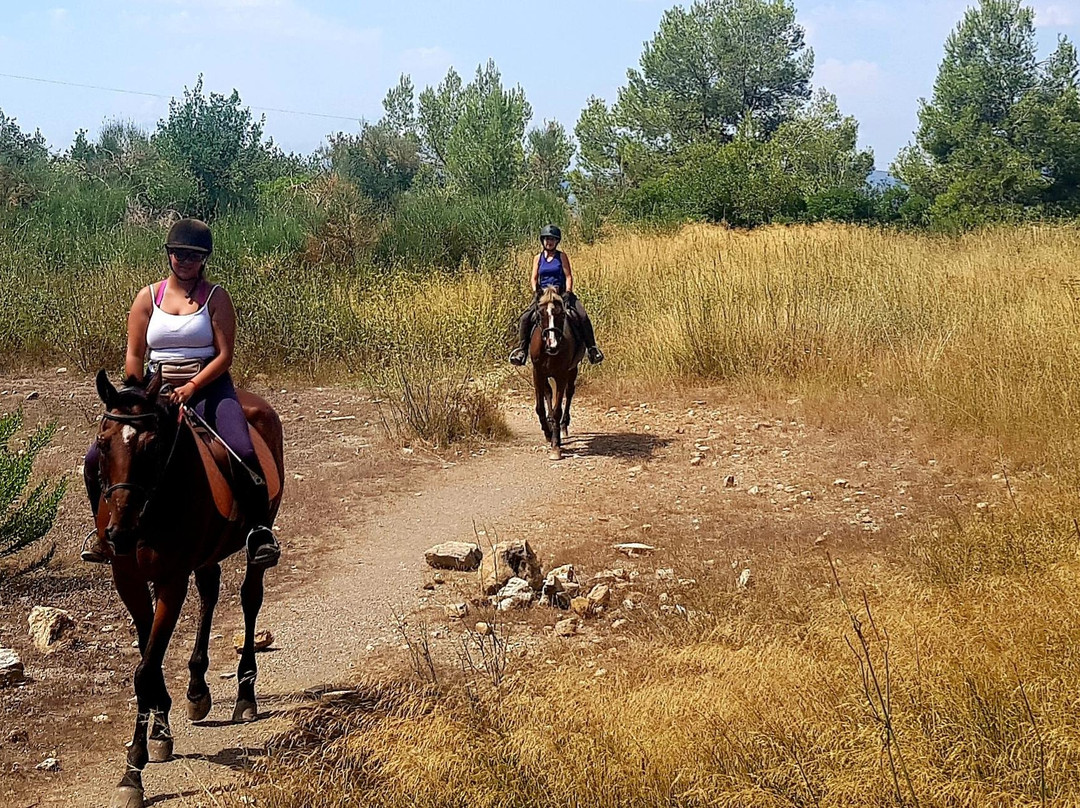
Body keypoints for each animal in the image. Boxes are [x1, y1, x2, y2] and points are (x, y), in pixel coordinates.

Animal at [90, 371, 282, 808]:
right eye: (104, 443)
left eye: (152, 445)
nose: (119, 534)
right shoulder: (128, 579)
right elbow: (149, 656)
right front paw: (161, 729)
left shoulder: (171, 580)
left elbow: (145, 669)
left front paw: (133, 771)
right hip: (207, 551)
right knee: (210, 592)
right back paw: (197, 692)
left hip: (255, 536)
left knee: (250, 599)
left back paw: (245, 695)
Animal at [529, 287, 583, 458]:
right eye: (541, 314)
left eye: (561, 314)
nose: (552, 345)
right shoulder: (537, 372)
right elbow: (540, 406)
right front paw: (548, 432)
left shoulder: (562, 374)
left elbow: (558, 409)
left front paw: (556, 446)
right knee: (548, 393)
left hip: (573, 370)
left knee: (570, 392)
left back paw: (563, 425)